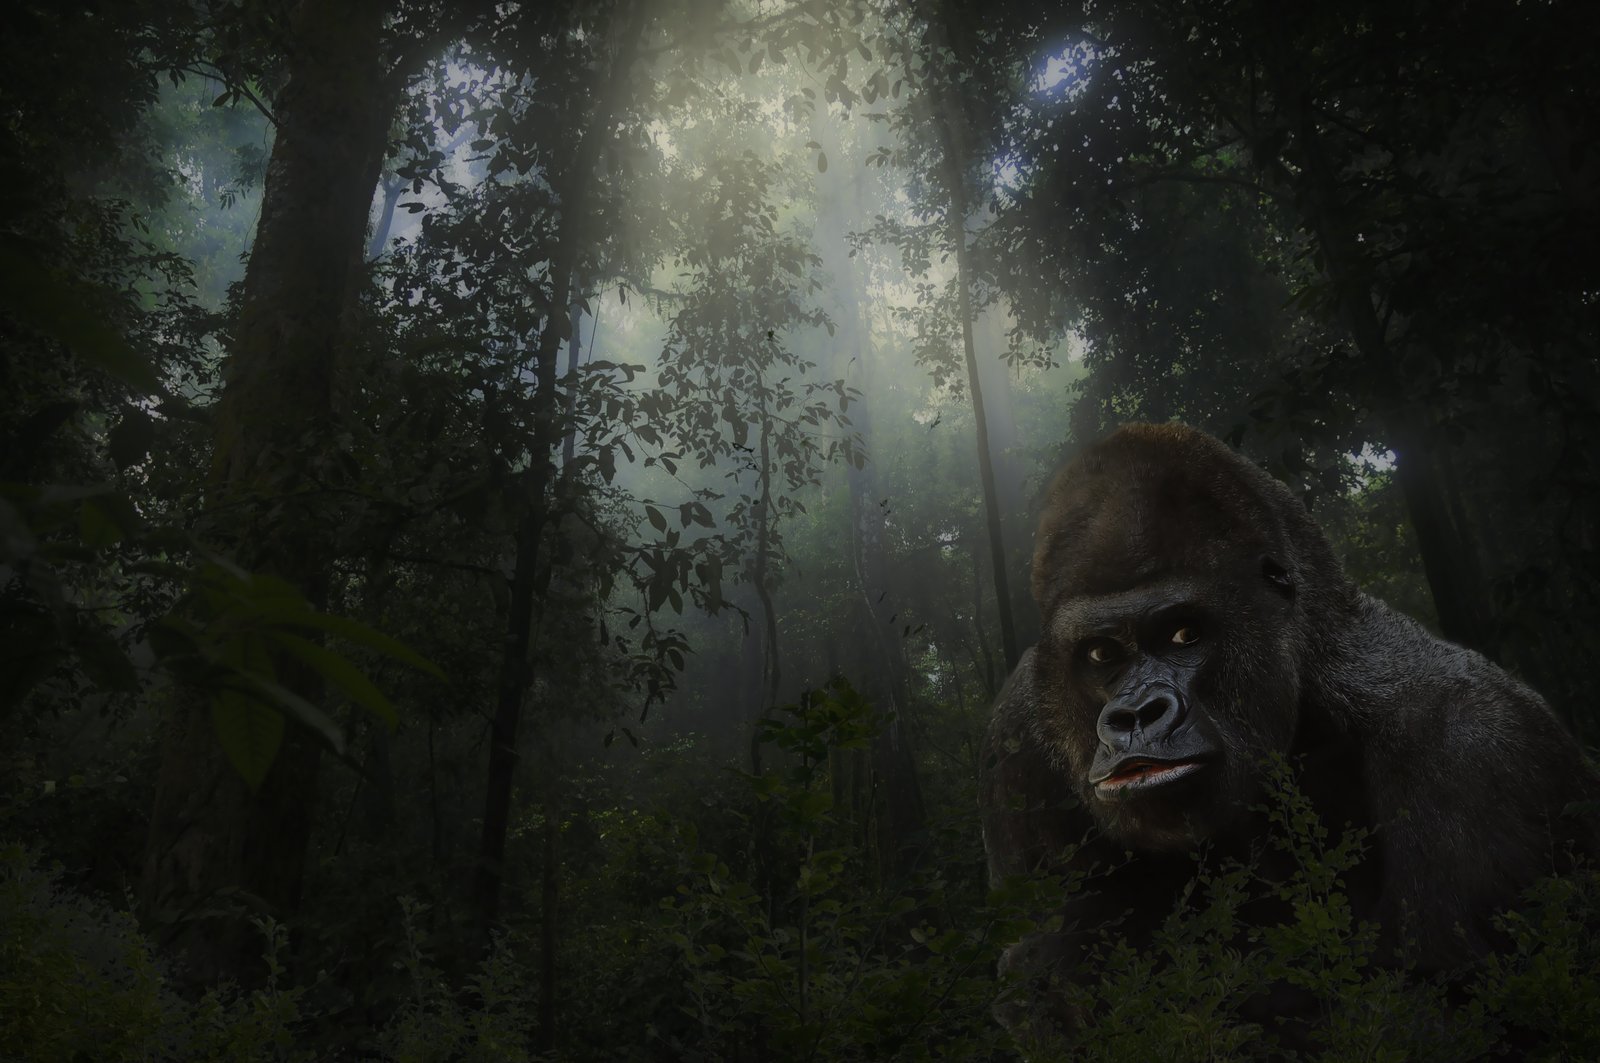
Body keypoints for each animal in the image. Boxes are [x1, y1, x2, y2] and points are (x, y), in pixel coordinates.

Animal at [980, 423, 1599, 1043]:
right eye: (1101, 654)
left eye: (1184, 634)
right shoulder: (1017, 734)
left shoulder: (1478, 744)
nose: (1135, 717)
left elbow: (1472, 1010)